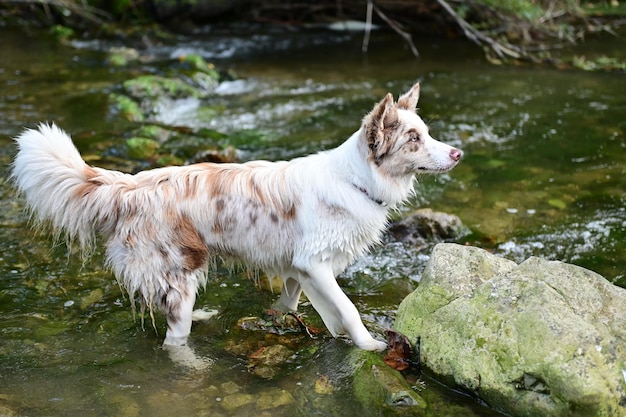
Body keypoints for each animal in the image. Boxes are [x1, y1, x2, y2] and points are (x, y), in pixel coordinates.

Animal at [9, 83, 458, 352]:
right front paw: (370, 345)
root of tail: (131, 186)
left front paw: (276, 318)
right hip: (180, 268)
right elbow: (346, 309)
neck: (355, 179)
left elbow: (290, 297)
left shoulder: (298, 265)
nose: (457, 153)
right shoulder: (315, 262)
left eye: (427, 132)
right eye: (413, 138)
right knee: (174, 340)